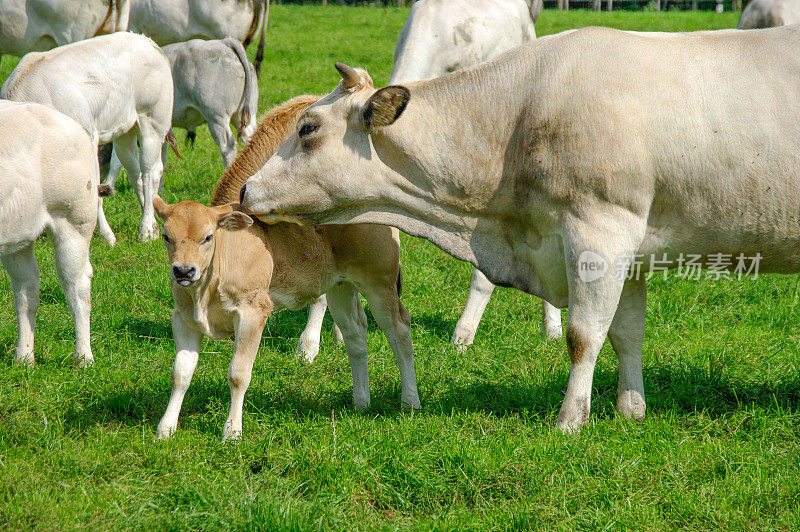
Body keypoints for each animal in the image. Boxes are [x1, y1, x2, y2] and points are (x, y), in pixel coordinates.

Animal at [0, 31, 175, 241]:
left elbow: (94, 191)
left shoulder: (89, 139)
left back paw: (146, 230)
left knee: (151, 172)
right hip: (125, 130)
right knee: (135, 171)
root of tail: (147, 42)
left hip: (153, 121)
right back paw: (153, 224)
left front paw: (107, 236)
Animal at [152, 97, 422, 438]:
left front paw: (232, 431)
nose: (184, 271)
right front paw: (165, 428)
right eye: (166, 236)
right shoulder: (184, 320)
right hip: (341, 286)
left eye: (207, 236)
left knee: (399, 330)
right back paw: (361, 401)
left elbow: (238, 373)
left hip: (379, 284)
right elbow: (180, 374)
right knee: (355, 335)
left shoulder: (253, 314)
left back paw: (410, 401)